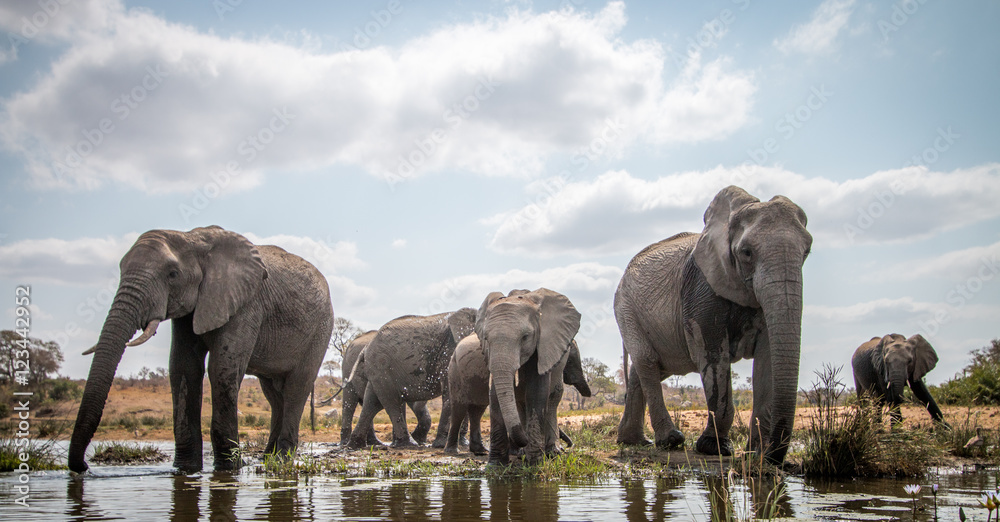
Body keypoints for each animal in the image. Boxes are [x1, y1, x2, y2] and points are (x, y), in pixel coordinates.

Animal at [68, 226, 333, 473]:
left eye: (173, 274)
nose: (83, 467)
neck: (191, 238)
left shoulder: (248, 304)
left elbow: (221, 369)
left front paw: (230, 468)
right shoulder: (188, 311)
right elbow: (183, 367)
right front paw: (186, 469)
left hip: (320, 329)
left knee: (296, 388)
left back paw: (280, 459)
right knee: (273, 394)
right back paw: (267, 458)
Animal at [344, 308, 477, 449]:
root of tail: (365, 348)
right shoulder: (449, 352)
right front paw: (440, 445)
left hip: (378, 370)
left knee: (372, 402)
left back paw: (355, 446)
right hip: (381, 365)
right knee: (392, 402)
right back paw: (409, 443)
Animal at [444, 332, 592, 456]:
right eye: (570, 361)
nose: (570, 445)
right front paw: (517, 452)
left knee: (477, 410)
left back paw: (481, 451)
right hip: (455, 372)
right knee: (459, 409)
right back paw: (452, 451)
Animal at [474, 288, 583, 465]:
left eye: (525, 337)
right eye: (486, 339)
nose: (523, 441)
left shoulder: (543, 346)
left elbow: (537, 392)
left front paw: (535, 463)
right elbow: (495, 394)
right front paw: (496, 465)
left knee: (553, 399)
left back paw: (552, 452)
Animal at [615, 186, 812, 465]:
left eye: (806, 252)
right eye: (746, 252)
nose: (773, 458)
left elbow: (768, 358)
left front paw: (755, 453)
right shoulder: (701, 288)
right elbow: (712, 356)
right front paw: (714, 448)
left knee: (647, 369)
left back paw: (633, 441)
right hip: (626, 309)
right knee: (647, 362)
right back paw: (670, 441)